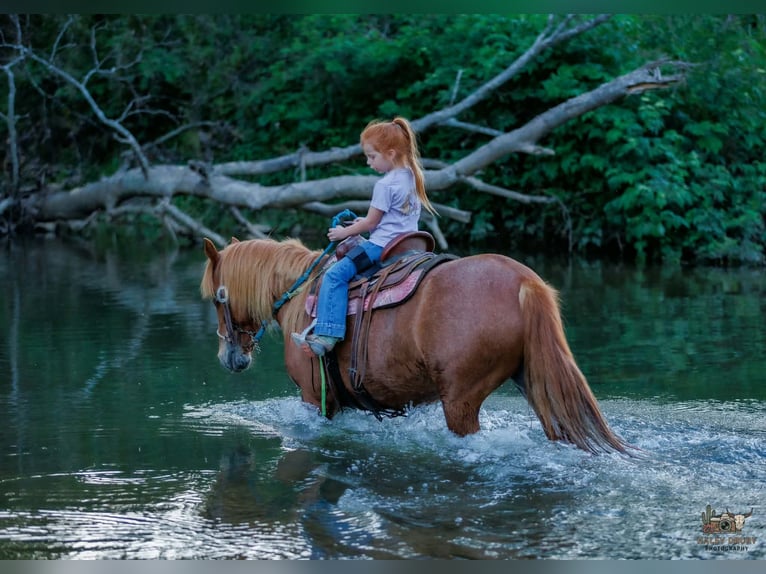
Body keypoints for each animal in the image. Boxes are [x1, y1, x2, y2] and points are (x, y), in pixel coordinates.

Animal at [200, 235, 631, 455]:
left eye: (218, 299)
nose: (229, 357)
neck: (301, 294)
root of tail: (525, 282)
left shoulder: (313, 395)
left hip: (460, 400)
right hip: (536, 385)